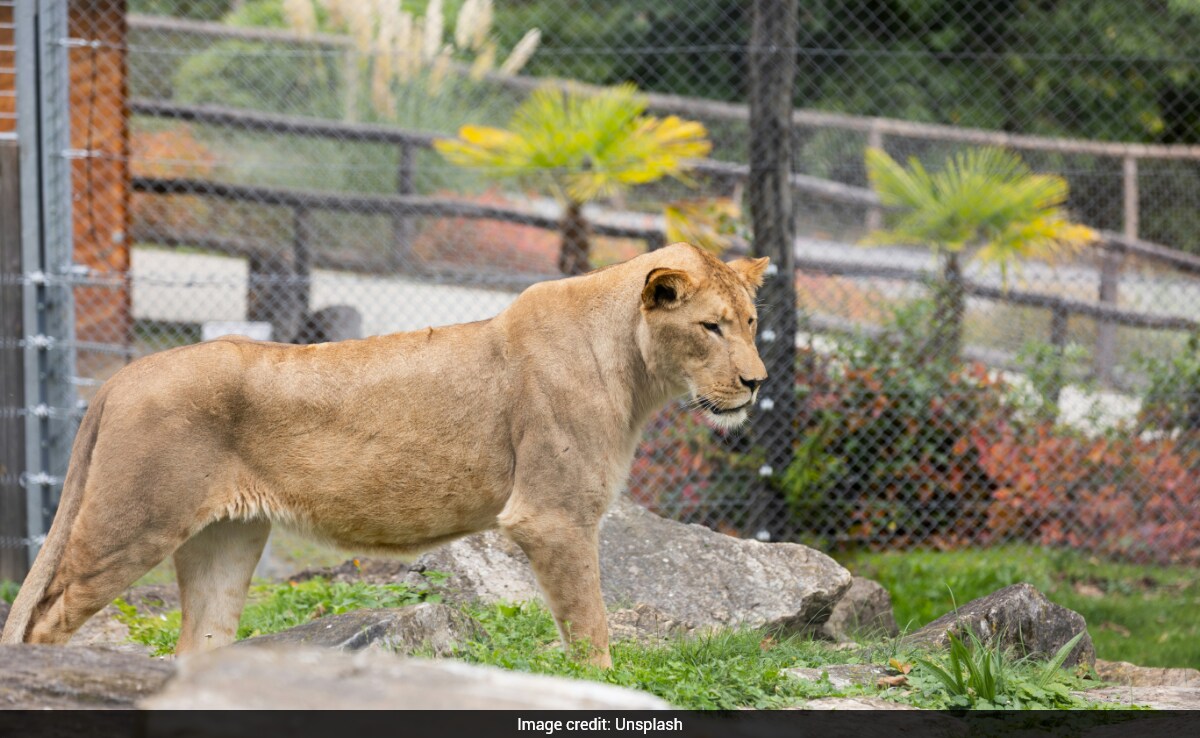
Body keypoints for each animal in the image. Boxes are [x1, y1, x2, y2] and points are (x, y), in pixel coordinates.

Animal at [1, 243, 768, 667]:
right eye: (710, 327)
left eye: (753, 323)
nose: (757, 382)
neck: (634, 369)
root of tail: (124, 376)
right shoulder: (551, 516)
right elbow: (590, 624)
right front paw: (604, 681)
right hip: (129, 526)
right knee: (40, 622)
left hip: (226, 539)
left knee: (197, 648)